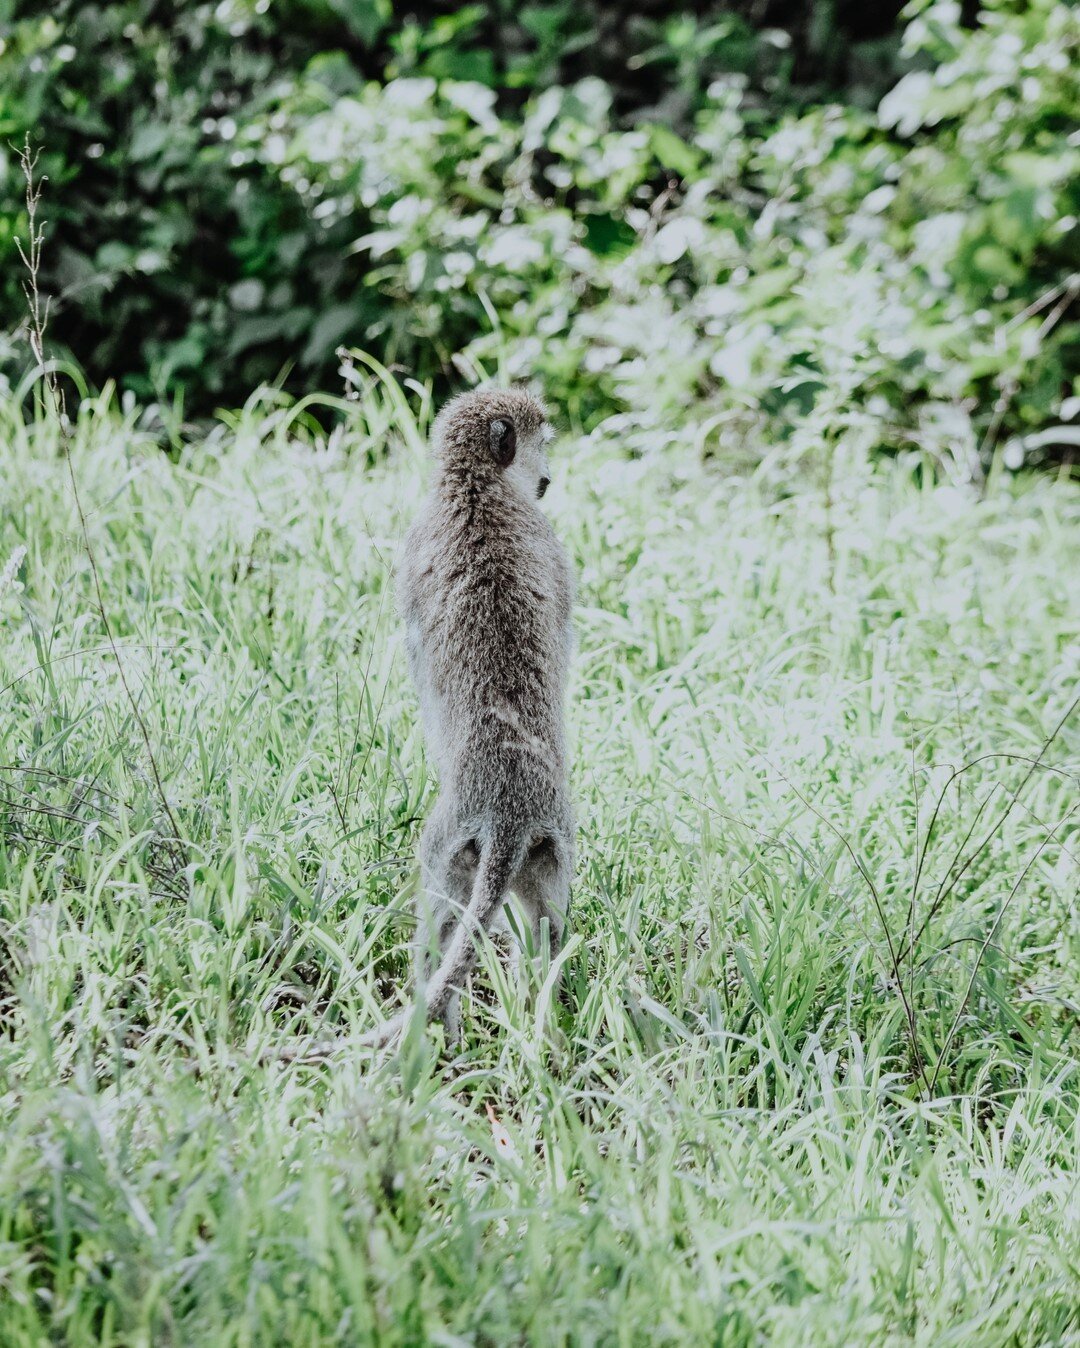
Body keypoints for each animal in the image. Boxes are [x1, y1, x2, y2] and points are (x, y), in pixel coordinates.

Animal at [361, 390, 577, 1051]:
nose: (547, 481)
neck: (477, 487)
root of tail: (510, 809)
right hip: (549, 845)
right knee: (546, 928)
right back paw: (540, 1022)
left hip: (448, 841)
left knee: (440, 918)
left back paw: (438, 1026)